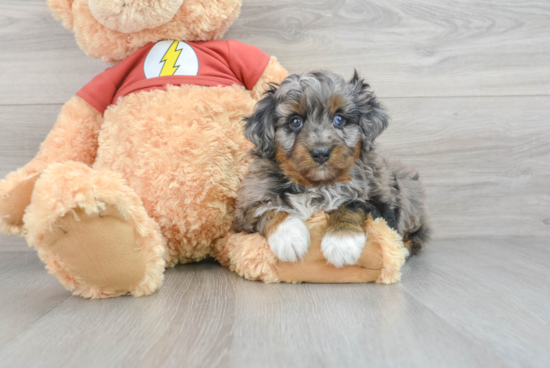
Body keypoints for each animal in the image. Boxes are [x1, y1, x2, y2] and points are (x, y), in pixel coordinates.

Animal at [233, 70, 432, 266]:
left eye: (339, 119)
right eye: (295, 121)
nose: (321, 153)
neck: (318, 185)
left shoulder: (379, 203)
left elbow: (352, 204)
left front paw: (341, 242)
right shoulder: (248, 203)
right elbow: (267, 209)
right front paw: (289, 238)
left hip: (407, 187)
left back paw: (403, 250)